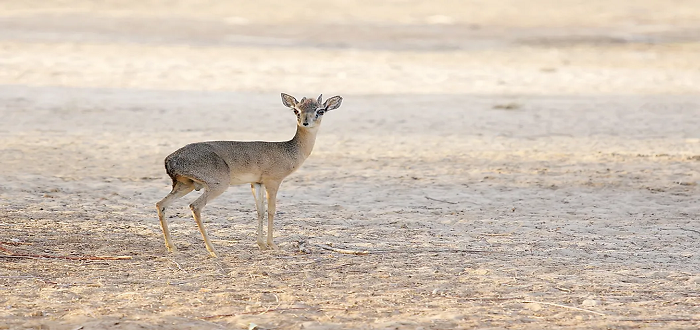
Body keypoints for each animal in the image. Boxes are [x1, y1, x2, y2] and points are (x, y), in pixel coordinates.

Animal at [158, 93, 344, 258]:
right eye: (296, 110)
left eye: (320, 110)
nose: (305, 122)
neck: (289, 150)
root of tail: (170, 159)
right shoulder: (273, 181)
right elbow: (271, 210)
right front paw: (272, 244)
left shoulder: (256, 183)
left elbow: (259, 210)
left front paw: (261, 244)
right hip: (217, 185)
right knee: (195, 206)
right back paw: (213, 250)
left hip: (185, 185)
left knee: (160, 204)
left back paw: (172, 247)